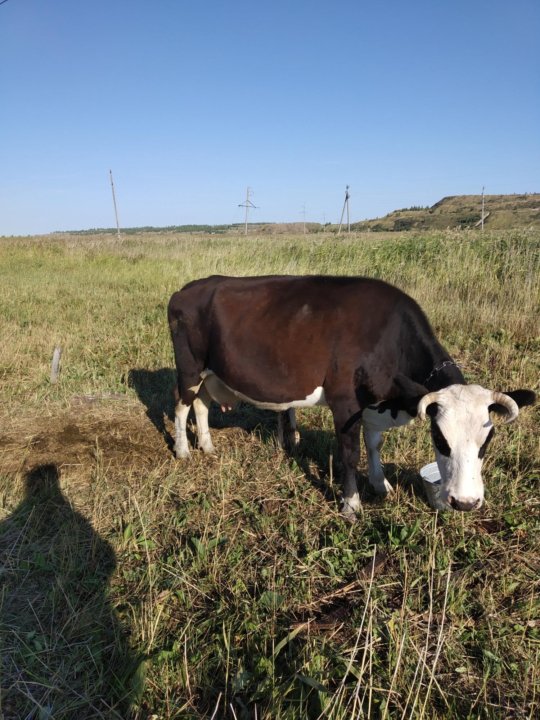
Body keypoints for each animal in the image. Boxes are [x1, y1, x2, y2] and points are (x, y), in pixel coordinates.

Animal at [169, 274, 536, 516]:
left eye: (487, 440)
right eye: (439, 438)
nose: (465, 502)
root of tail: (188, 288)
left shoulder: (373, 402)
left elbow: (374, 445)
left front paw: (380, 484)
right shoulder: (345, 402)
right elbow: (350, 452)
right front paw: (351, 504)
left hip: (211, 372)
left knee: (201, 405)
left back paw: (208, 446)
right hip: (189, 368)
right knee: (181, 406)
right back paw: (184, 451)